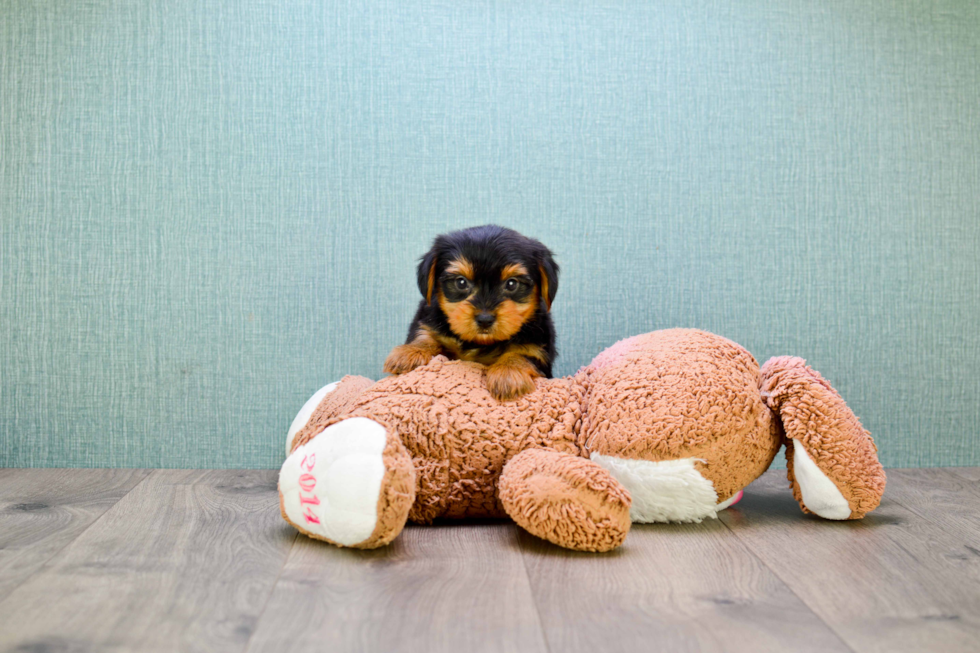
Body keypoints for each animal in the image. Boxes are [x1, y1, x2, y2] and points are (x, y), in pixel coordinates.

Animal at [386, 225, 564, 402]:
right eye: (461, 282)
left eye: (512, 284)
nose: (485, 319)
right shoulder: (429, 319)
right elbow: (424, 335)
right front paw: (409, 352)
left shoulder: (539, 348)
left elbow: (523, 353)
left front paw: (507, 373)